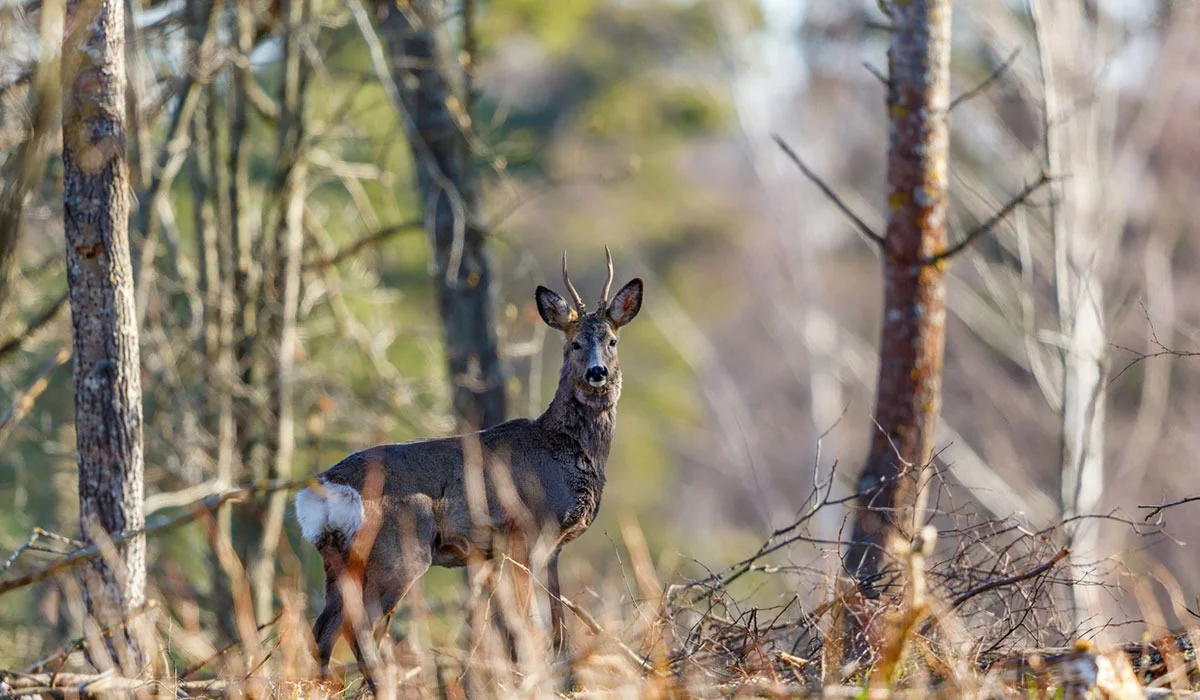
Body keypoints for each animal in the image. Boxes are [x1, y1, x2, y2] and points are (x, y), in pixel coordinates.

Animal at [294, 247, 643, 672]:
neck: (564, 447)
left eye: (612, 340)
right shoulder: (523, 534)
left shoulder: (551, 547)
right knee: (359, 630)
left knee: (323, 633)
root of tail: (322, 490)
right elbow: (529, 624)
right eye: (574, 343)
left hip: (337, 561)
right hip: (396, 549)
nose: (597, 372)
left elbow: (558, 626)